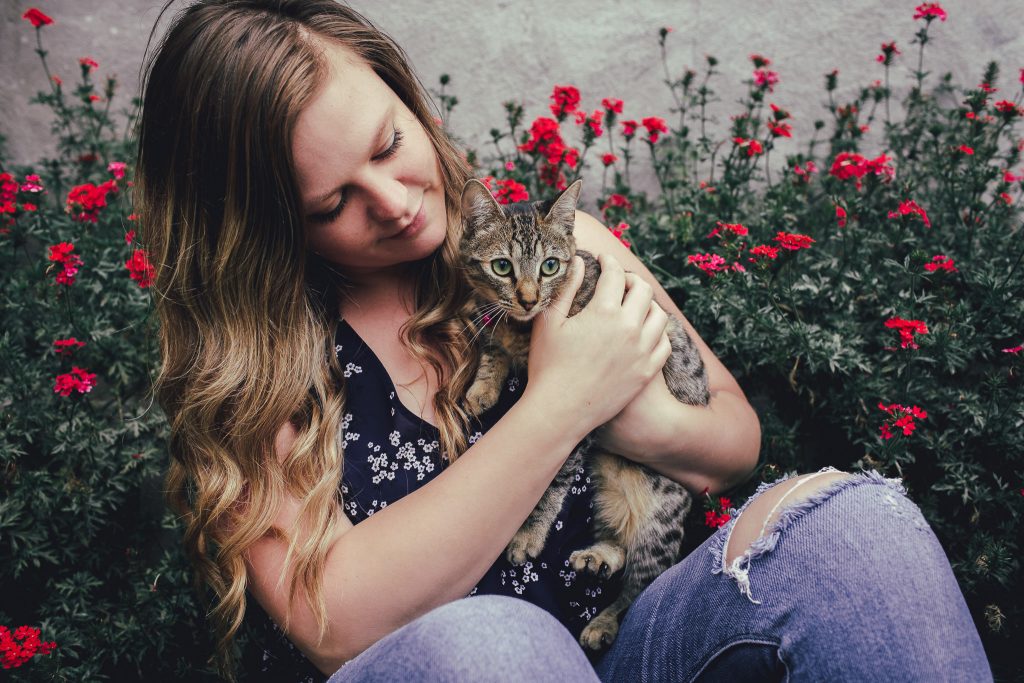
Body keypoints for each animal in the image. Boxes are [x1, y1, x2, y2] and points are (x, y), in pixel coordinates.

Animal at [458, 178, 708, 651]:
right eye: (501, 267)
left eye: (550, 266)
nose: (528, 299)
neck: (526, 327)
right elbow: (493, 348)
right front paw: (481, 388)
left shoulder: (585, 417)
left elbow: (553, 481)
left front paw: (528, 534)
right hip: (605, 495)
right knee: (620, 546)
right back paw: (599, 555)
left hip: (660, 518)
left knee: (642, 585)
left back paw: (603, 623)